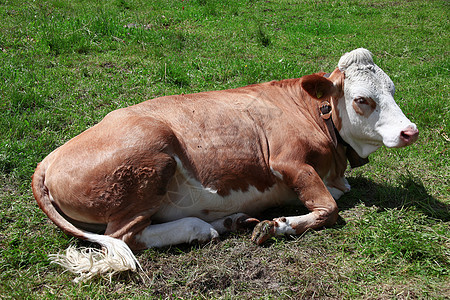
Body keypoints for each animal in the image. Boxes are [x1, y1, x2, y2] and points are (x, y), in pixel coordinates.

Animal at [30, 48, 418, 280]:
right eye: (361, 100)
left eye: (392, 90)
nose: (410, 131)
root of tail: (48, 160)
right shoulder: (287, 160)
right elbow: (329, 209)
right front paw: (278, 226)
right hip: (151, 160)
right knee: (124, 236)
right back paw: (202, 228)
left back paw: (229, 221)